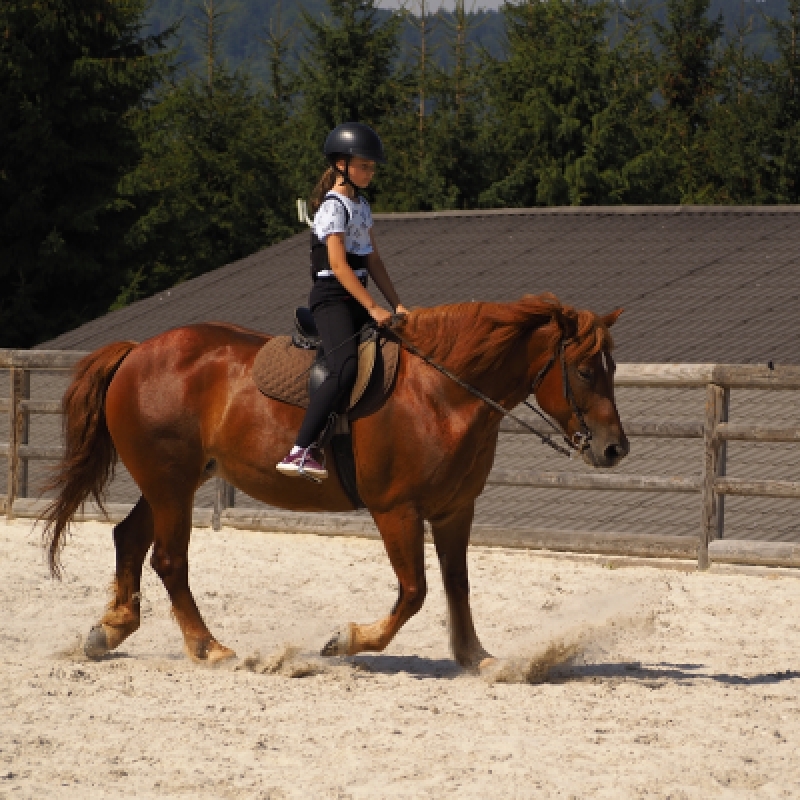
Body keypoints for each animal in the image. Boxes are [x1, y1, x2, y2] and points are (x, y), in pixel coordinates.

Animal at [41, 293, 628, 671]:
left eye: (612, 367)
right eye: (583, 369)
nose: (614, 448)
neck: (441, 392)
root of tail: (138, 350)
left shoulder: (455, 511)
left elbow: (457, 586)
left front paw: (476, 658)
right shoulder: (397, 510)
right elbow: (414, 592)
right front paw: (344, 641)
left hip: (171, 483)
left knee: (129, 539)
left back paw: (110, 630)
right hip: (171, 483)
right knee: (169, 560)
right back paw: (208, 648)